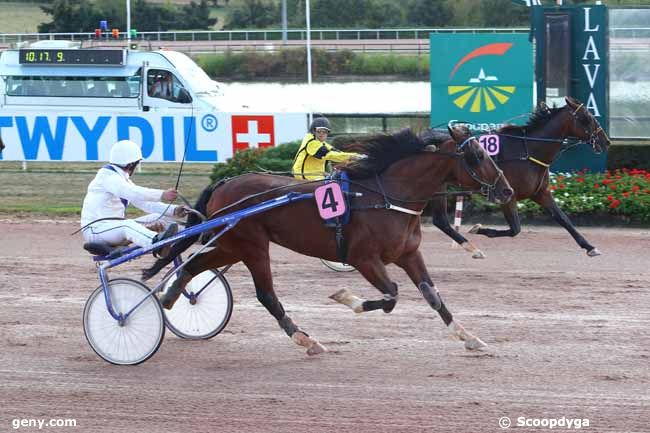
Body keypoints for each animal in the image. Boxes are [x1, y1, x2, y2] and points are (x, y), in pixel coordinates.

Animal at [142, 125, 512, 354]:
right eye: (478, 156)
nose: (508, 190)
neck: (388, 196)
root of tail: (224, 183)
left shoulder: (408, 255)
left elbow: (433, 297)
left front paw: (469, 337)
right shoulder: (364, 259)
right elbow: (391, 296)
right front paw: (347, 297)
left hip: (232, 245)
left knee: (193, 265)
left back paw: (169, 297)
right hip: (252, 246)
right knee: (266, 295)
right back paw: (305, 339)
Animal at [430, 96, 608, 256]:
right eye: (587, 118)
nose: (605, 141)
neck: (528, 150)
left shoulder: (541, 193)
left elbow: (563, 218)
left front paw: (589, 247)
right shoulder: (508, 195)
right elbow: (515, 229)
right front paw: (479, 228)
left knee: (440, 221)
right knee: (440, 220)